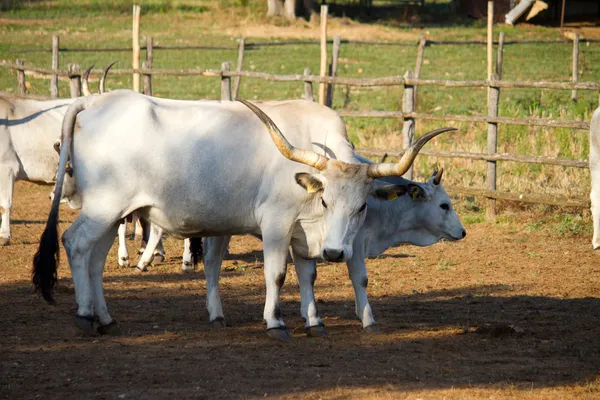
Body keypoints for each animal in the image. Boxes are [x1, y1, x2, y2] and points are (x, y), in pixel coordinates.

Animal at [30, 89, 448, 340]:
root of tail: (96, 100)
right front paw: (275, 322)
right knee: (75, 244)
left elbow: (308, 275)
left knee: (96, 259)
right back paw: (85, 316)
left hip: (114, 212)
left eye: (361, 207)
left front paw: (315, 322)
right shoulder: (277, 224)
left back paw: (105, 317)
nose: (334, 253)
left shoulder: (303, 235)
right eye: (326, 201)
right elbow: (277, 274)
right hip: (104, 207)